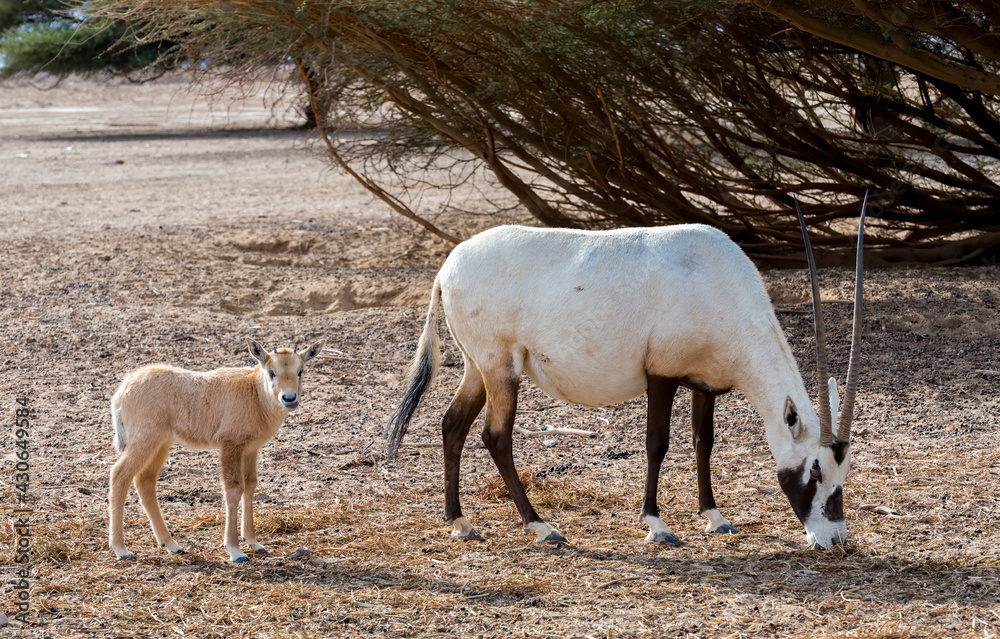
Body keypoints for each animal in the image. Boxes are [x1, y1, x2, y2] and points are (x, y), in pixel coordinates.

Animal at [108, 338, 325, 562]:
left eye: (300, 371)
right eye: (271, 372)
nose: (289, 398)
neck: (254, 392)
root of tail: (121, 392)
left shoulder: (250, 449)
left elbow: (250, 485)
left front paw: (254, 543)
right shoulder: (230, 444)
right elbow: (233, 488)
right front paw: (235, 550)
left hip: (161, 444)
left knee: (145, 481)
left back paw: (171, 544)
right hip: (144, 441)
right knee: (119, 475)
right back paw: (121, 549)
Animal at [386, 200, 865, 549]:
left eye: (842, 471)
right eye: (816, 471)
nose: (835, 539)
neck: (717, 280)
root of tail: (447, 269)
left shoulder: (705, 382)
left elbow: (703, 442)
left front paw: (715, 517)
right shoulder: (661, 374)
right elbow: (658, 444)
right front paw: (657, 524)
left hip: (478, 368)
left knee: (453, 424)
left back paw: (460, 522)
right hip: (501, 368)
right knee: (496, 436)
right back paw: (542, 527)